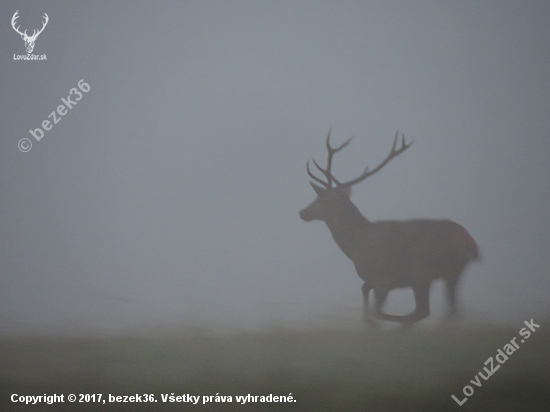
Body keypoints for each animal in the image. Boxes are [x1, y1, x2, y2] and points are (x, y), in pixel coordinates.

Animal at [300, 130, 480, 326]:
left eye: (321, 200)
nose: (302, 212)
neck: (356, 245)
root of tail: (470, 244)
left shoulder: (383, 277)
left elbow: (374, 306)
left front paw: (372, 322)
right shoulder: (374, 280)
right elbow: (365, 292)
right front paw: (368, 321)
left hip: (422, 271)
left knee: (422, 311)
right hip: (452, 272)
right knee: (451, 309)